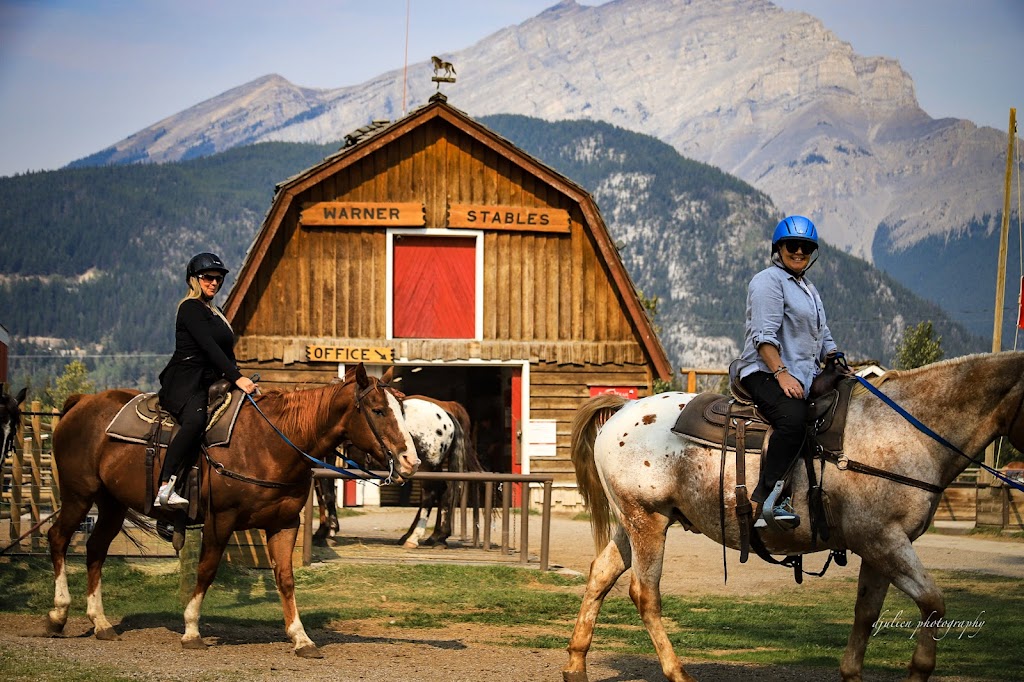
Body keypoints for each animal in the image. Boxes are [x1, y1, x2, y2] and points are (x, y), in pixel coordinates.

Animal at [46, 364, 417, 655]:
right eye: (378, 410)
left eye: (401, 410)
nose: (411, 461)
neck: (271, 442)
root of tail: (81, 403)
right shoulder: (219, 521)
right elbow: (206, 570)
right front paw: (191, 630)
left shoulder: (284, 524)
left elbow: (285, 579)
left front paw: (301, 638)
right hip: (79, 495)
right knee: (58, 538)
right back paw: (58, 615)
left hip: (112, 503)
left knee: (95, 549)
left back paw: (101, 623)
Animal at [565, 350, 1024, 679]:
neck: (904, 432)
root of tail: (623, 413)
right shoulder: (886, 541)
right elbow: (932, 603)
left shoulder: (877, 548)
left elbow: (866, 615)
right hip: (648, 521)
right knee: (645, 594)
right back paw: (677, 673)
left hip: (631, 523)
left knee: (600, 575)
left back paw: (575, 666)